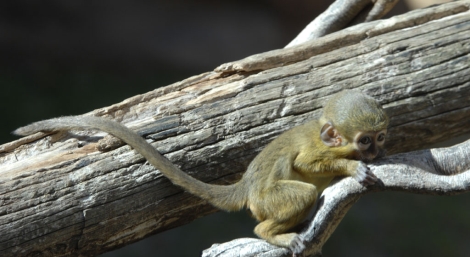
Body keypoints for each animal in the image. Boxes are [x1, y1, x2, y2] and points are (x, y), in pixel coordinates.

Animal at [14, 89, 390, 253]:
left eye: (381, 137)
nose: (377, 149)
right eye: (365, 140)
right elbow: (304, 163)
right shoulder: (321, 149)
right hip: (267, 201)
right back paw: (270, 232)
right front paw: (354, 167)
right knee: (300, 196)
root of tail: (247, 188)